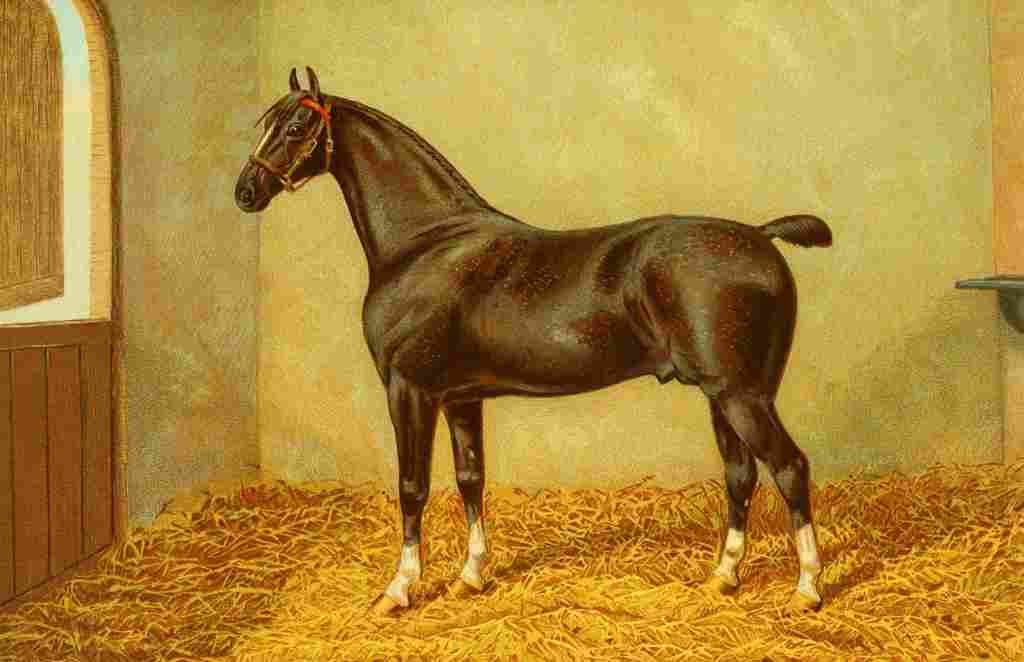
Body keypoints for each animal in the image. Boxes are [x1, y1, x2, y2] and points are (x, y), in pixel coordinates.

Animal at [235, 67, 833, 617]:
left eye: (295, 126)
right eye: (266, 124)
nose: (246, 191)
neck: (426, 242)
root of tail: (761, 237)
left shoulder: (409, 390)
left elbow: (412, 486)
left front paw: (399, 589)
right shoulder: (460, 398)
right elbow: (470, 479)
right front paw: (471, 577)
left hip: (741, 396)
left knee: (789, 467)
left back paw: (806, 589)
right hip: (721, 396)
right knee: (741, 475)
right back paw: (723, 578)